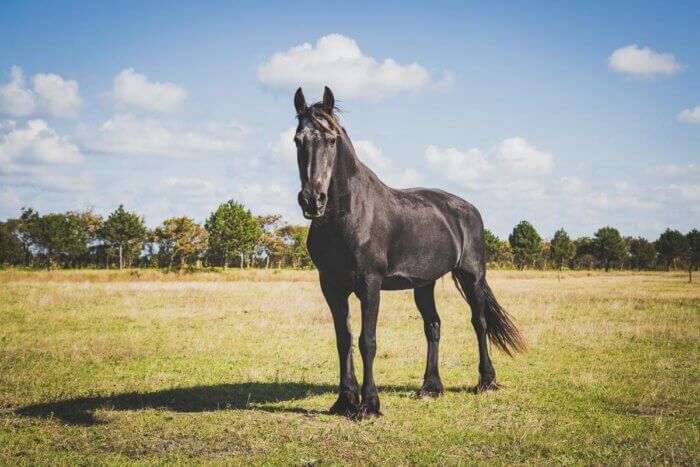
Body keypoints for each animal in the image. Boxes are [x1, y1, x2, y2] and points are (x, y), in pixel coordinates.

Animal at [292, 88, 524, 420]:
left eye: (331, 140)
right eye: (298, 140)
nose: (313, 199)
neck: (350, 215)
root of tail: (468, 209)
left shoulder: (370, 283)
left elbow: (367, 340)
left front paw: (369, 405)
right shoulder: (331, 286)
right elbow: (343, 340)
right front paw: (344, 402)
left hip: (472, 276)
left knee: (478, 323)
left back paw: (486, 381)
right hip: (424, 284)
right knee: (434, 326)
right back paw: (430, 387)